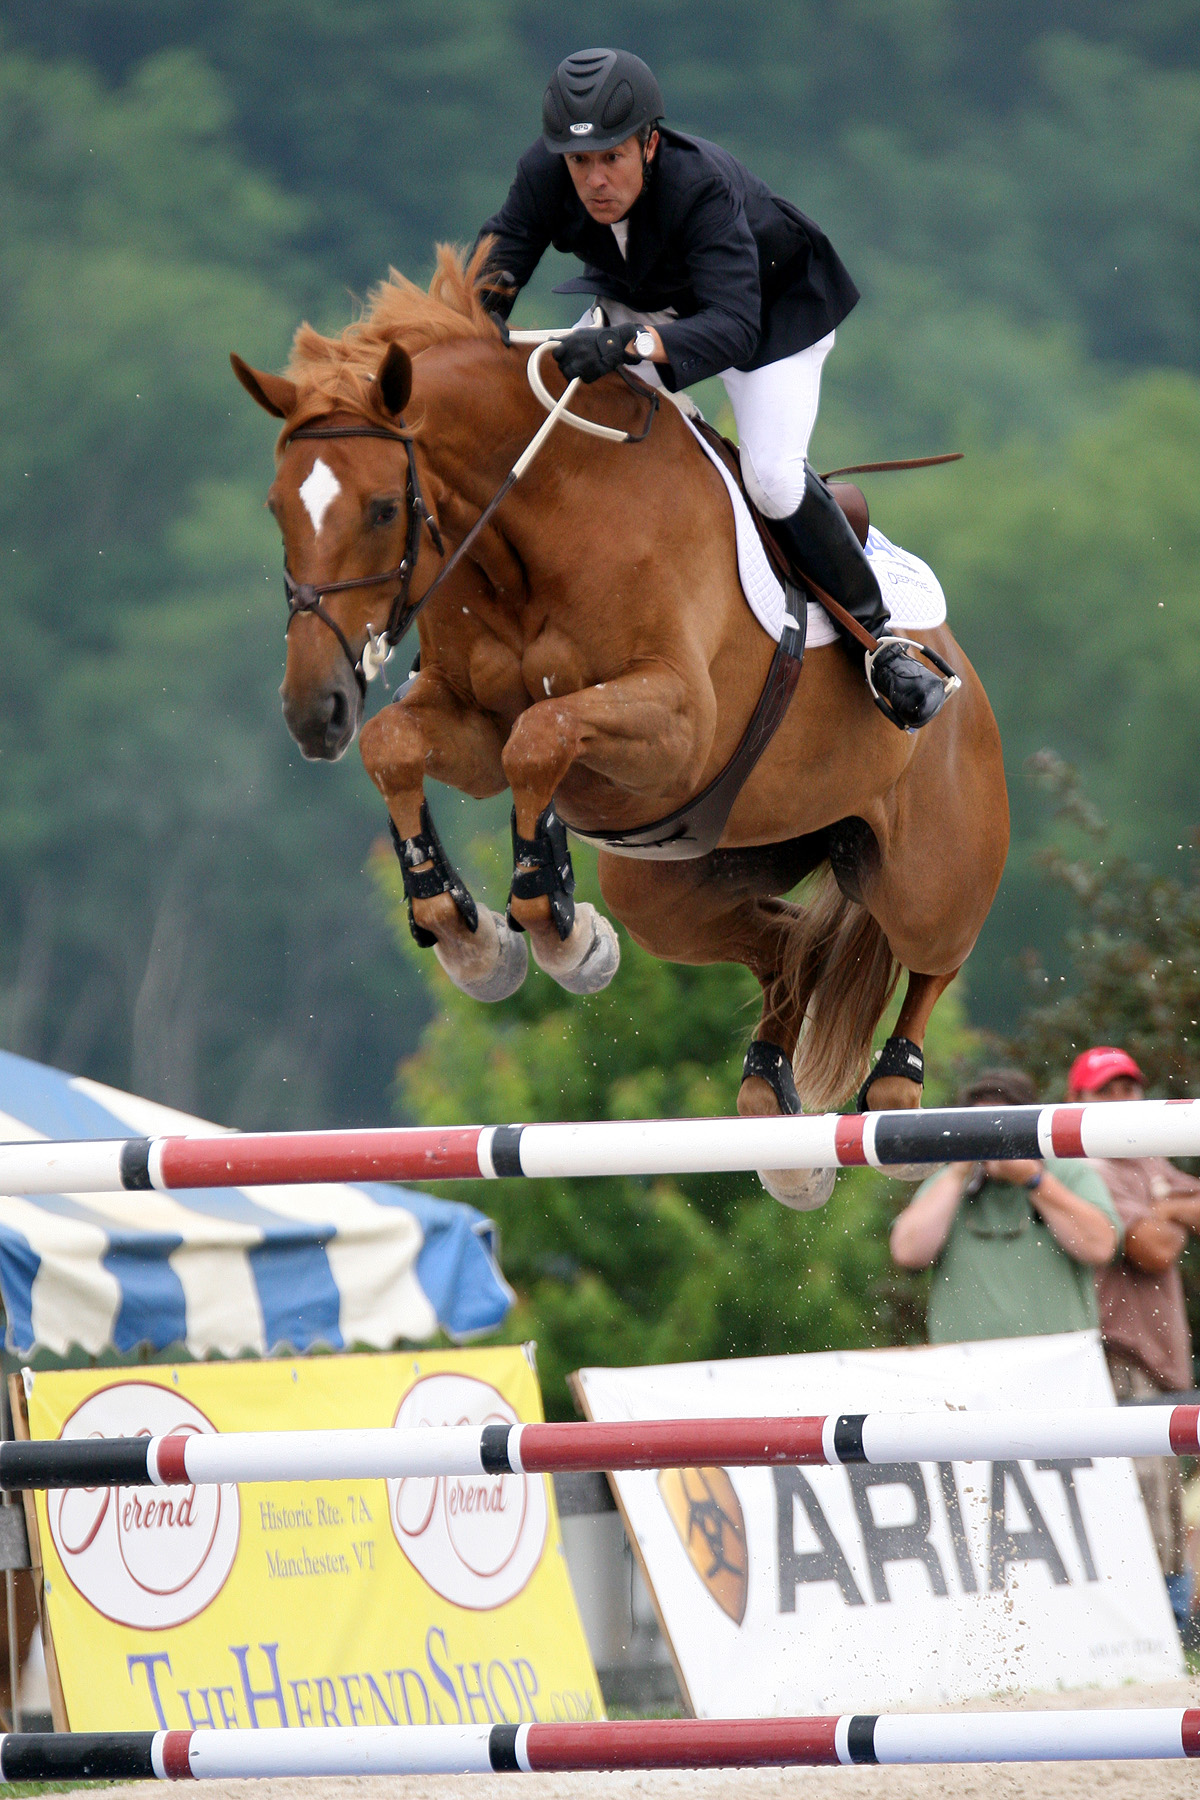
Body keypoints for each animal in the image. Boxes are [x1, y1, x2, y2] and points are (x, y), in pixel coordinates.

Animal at [230, 250, 1007, 1209]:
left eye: (381, 508)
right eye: (276, 508)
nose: (315, 711)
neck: (532, 527)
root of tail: (960, 672)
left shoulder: (674, 724)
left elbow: (541, 734)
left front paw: (556, 930)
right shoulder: (473, 728)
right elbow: (407, 746)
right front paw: (473, 937)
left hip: (926, 870)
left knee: (933, 952)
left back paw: (895, 1090)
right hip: (671, 888)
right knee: (788, 944)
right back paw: (775, 1117)